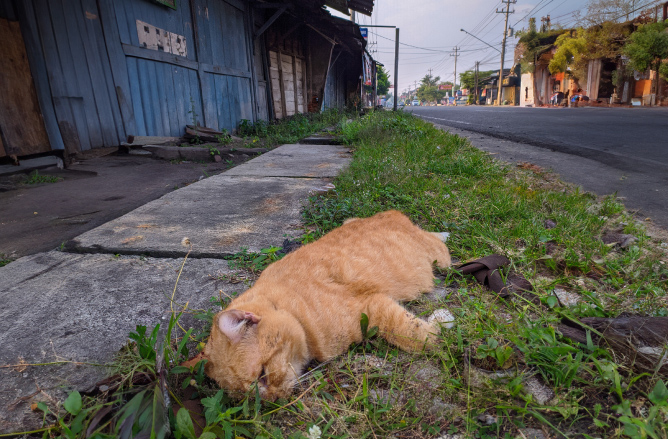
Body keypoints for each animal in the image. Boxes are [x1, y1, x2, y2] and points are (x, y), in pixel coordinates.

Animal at [204, 211, 452, 402]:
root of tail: (392, 213)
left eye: (263, 375)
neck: (290, 303)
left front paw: (440, 325)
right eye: (249, 398)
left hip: (442, 260)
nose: (273, 399)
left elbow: (415, 335)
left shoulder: (372, 307)